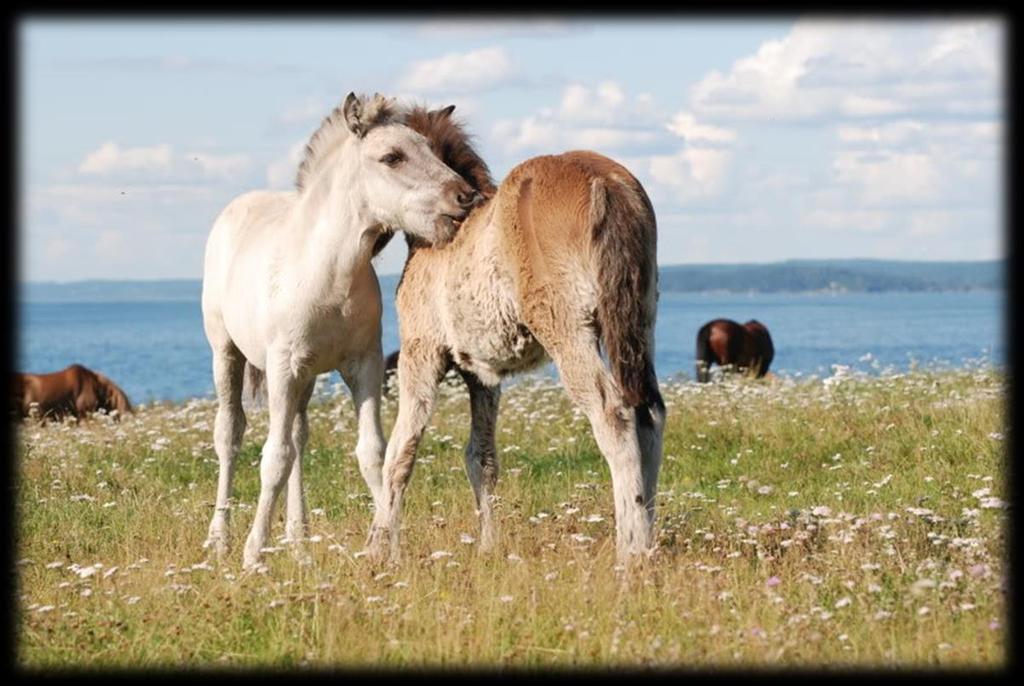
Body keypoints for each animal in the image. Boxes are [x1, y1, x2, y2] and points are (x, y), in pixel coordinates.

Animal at [199, 92, 479, 569]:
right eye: (392, 157)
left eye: (432, 149)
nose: (465, 196)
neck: (328, 274)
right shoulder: (282, 367)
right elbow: (273, 457)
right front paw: (254, 554)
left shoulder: (363, 366)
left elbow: (372, 453)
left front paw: (390, 547)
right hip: (228, 354)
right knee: (231, 435)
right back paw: (220, 538)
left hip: (307, 377)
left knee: (298, 436)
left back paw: (297, 538)